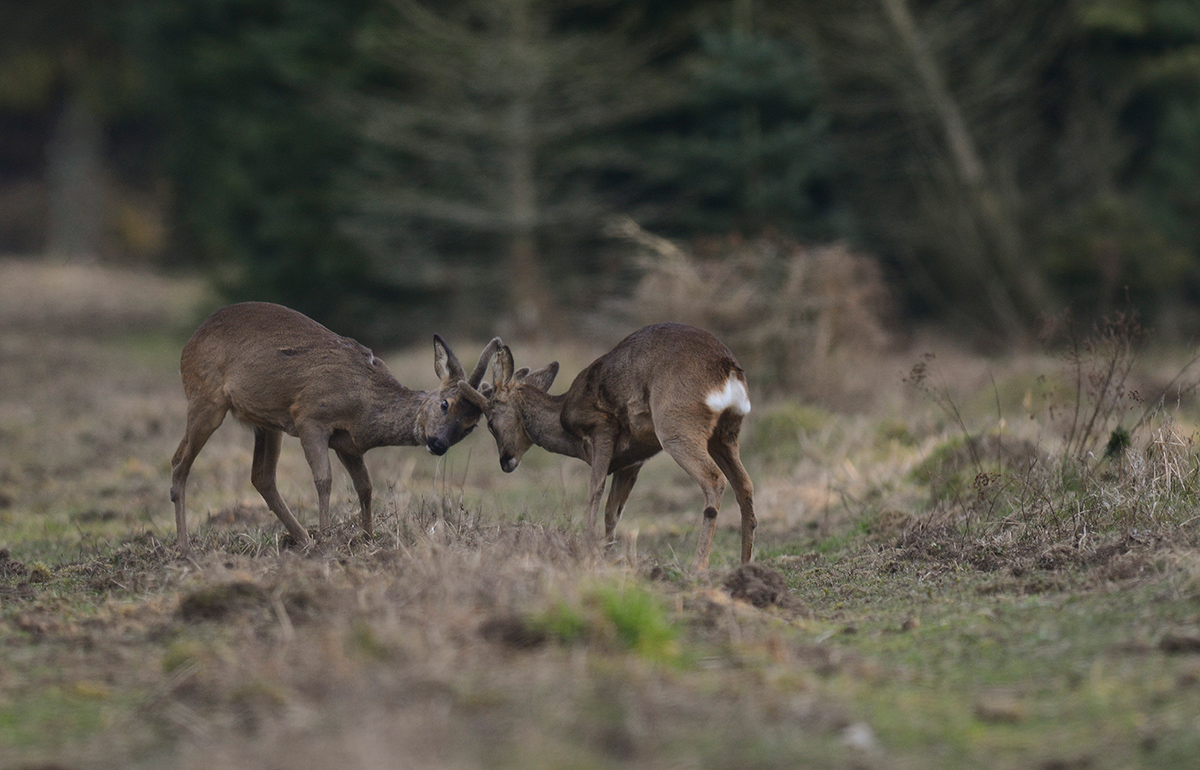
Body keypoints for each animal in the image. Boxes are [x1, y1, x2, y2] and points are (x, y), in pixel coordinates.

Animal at [170, 302, 496, 549]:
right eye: (445, 404)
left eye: (470, 427)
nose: (438, 444)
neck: (365, 402)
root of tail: (189, 343)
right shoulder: (310, 416)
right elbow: (324, 480)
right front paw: (327, 539)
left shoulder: (348, 443)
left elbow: (365, 486)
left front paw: (367, 537)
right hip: (206, 398)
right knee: (179, 461)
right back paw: (184, 546)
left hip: (266, 422)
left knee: (261, 477)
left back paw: (302, 538)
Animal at [484, 321, 748, 566]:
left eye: (490, 423)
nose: (505, 461)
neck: (563, 423)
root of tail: (729, 370)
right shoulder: (633, 459)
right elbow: (614, 511)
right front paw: (606, 554)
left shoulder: (602, 427)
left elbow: (595, 491)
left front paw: (587, 549)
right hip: (726, 435)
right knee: (745, 486)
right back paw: (745, 563)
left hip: (677, 427)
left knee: (714, 480)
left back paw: (698, 566)